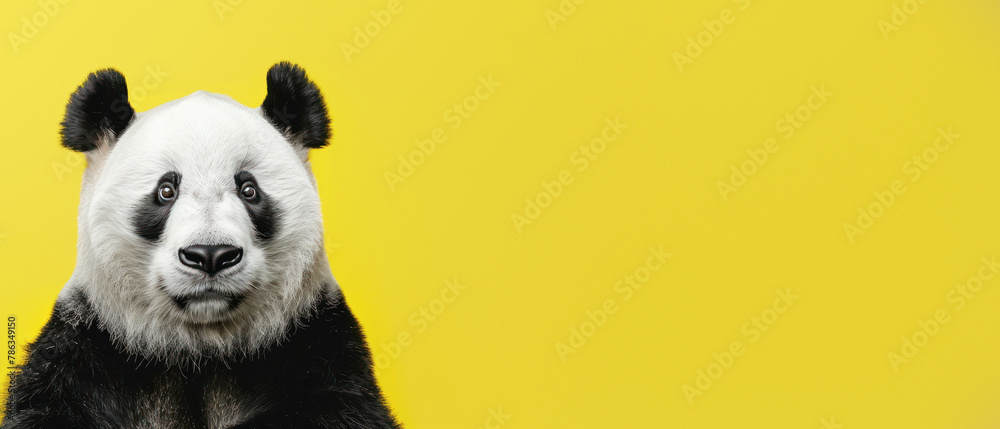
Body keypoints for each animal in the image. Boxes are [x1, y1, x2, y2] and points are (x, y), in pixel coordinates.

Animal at [1, 63, 401, 429]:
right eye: (166, 190)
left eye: (249, 189)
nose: (211, 256)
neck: (200, 350)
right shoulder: (89, 348)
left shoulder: (315, 342)